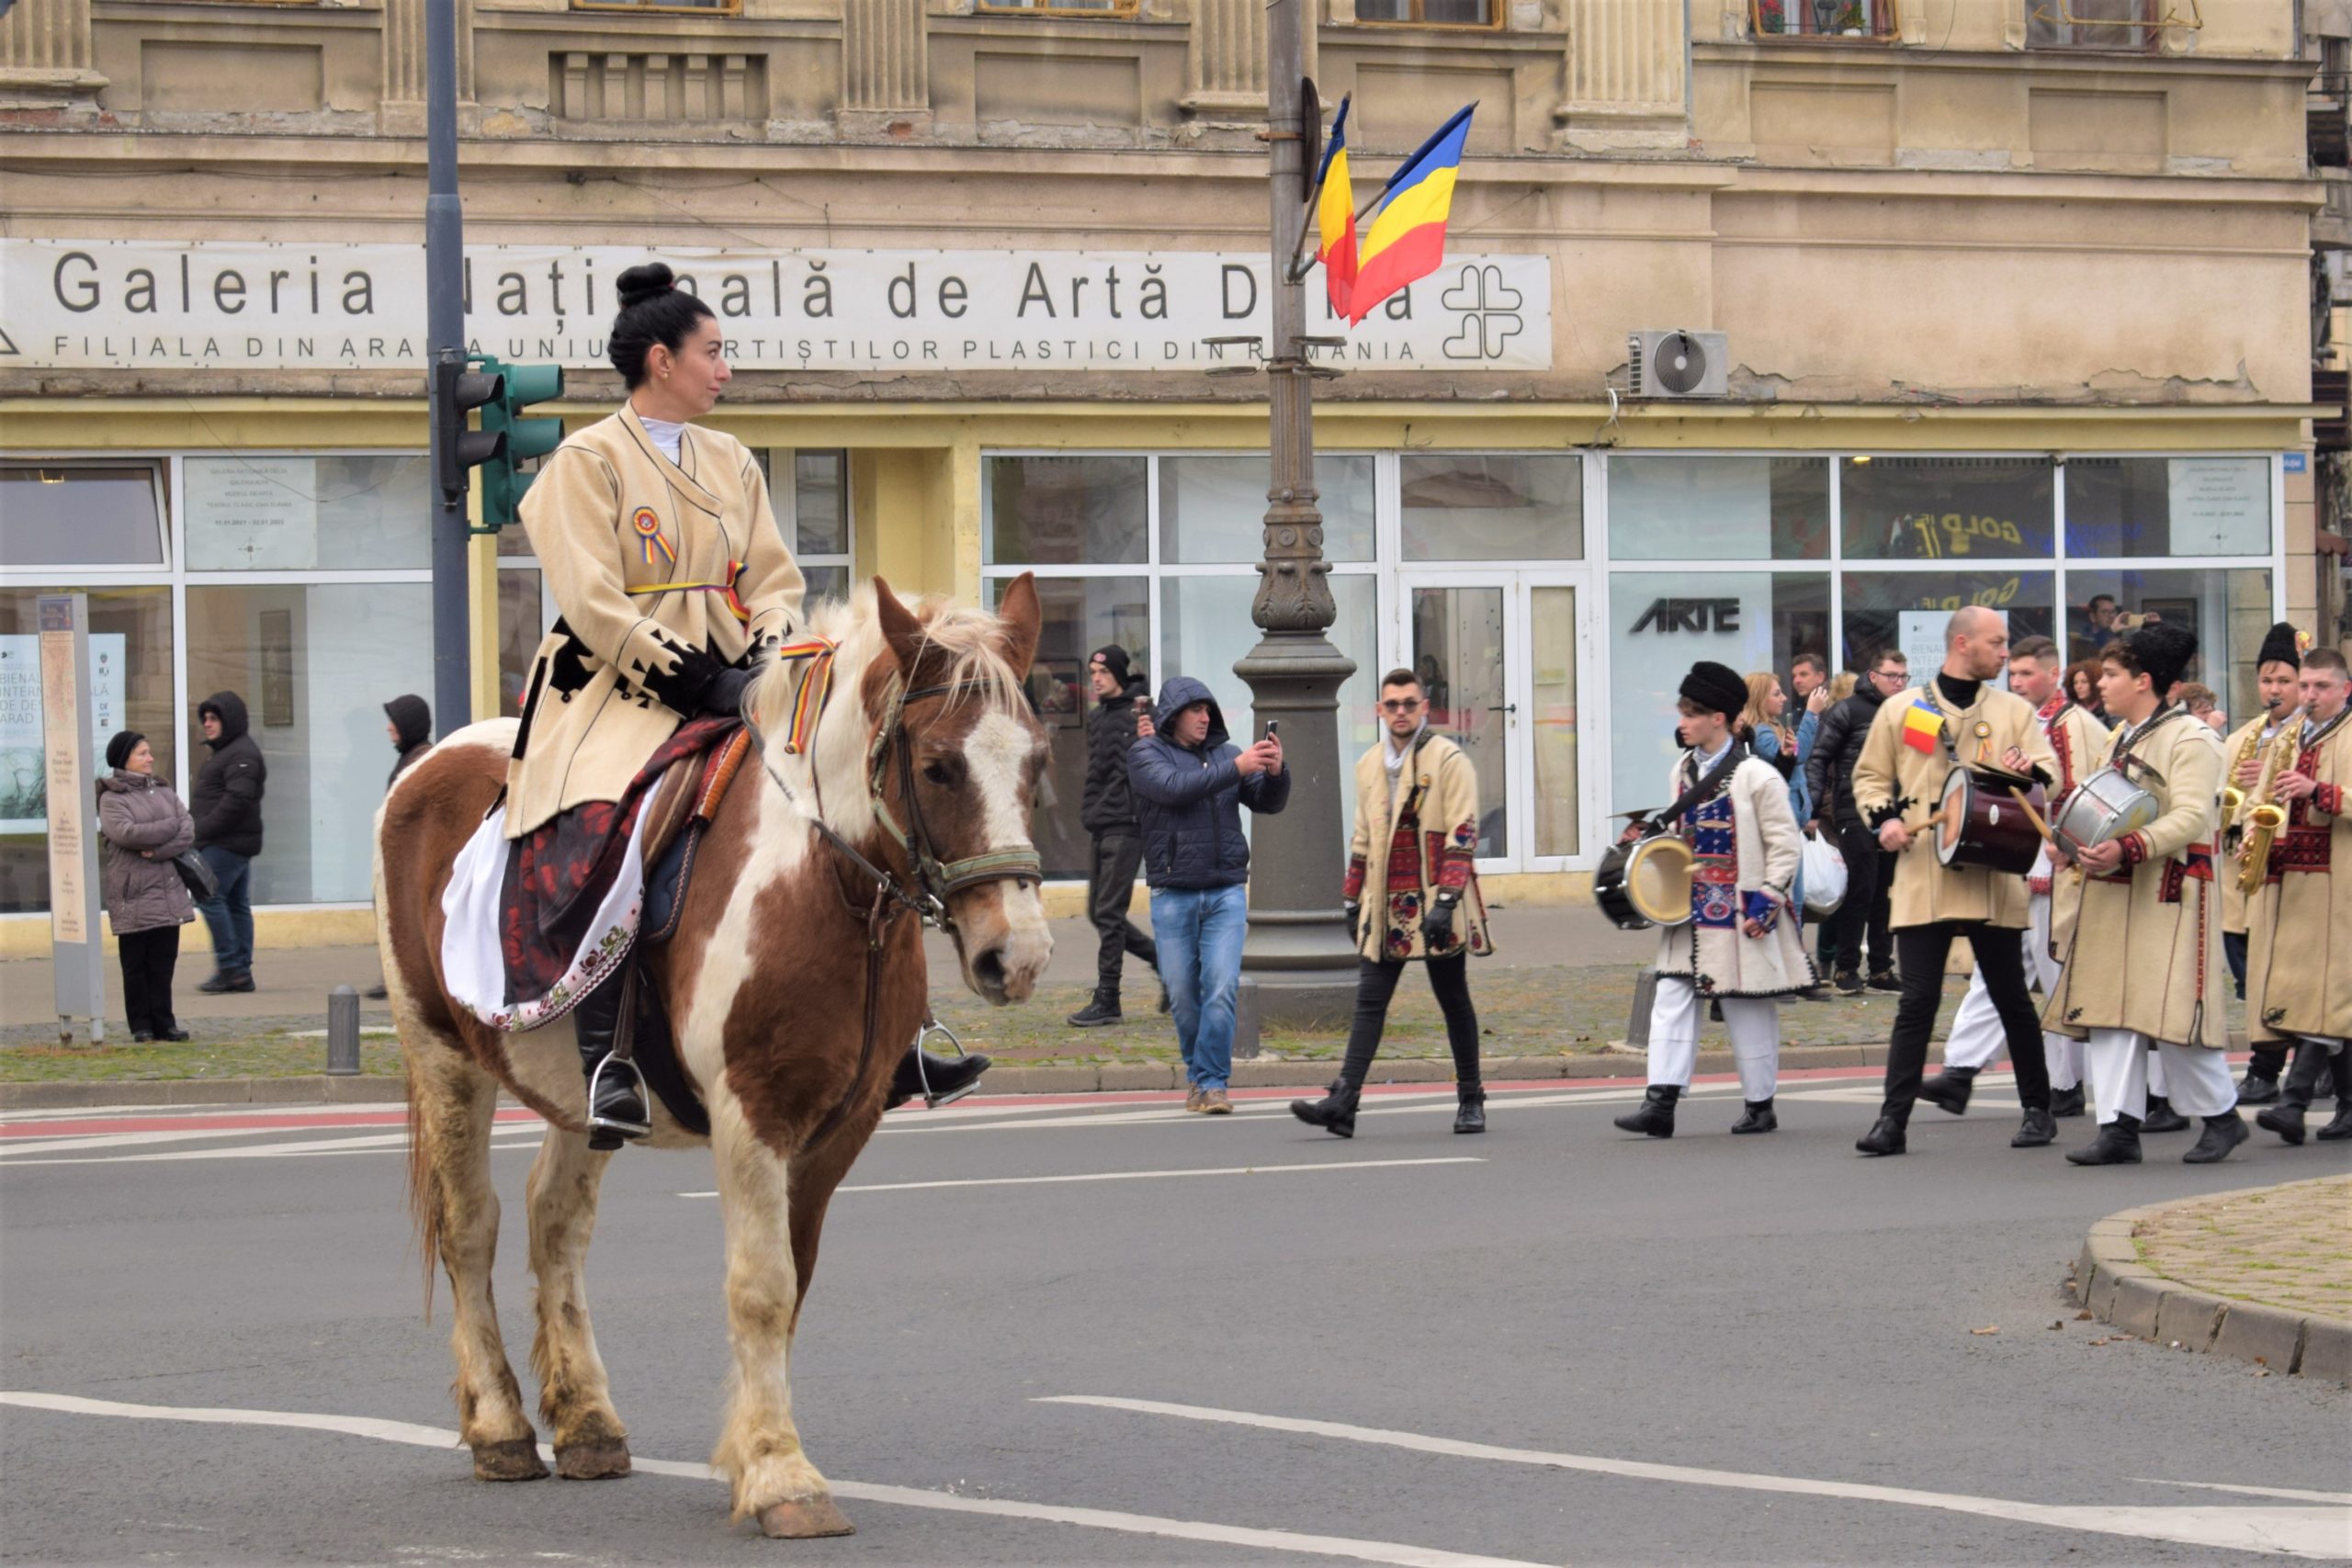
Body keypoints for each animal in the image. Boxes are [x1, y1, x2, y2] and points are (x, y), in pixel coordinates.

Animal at [374, 573, 1048, 1532]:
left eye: (1036, 763)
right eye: (938, 767)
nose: (1015, 956)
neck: (822, 884)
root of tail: (431, 760)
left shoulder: (838, 1128)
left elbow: (793, 1282)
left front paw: (753, 1454)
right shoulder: (752, 1112)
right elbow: (760, 1286)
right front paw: (779, 1474)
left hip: (582, 1089)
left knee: (555, 1219)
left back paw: (587, 1420)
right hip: (443, 1057)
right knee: (471, 1225)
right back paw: (501, 1426)